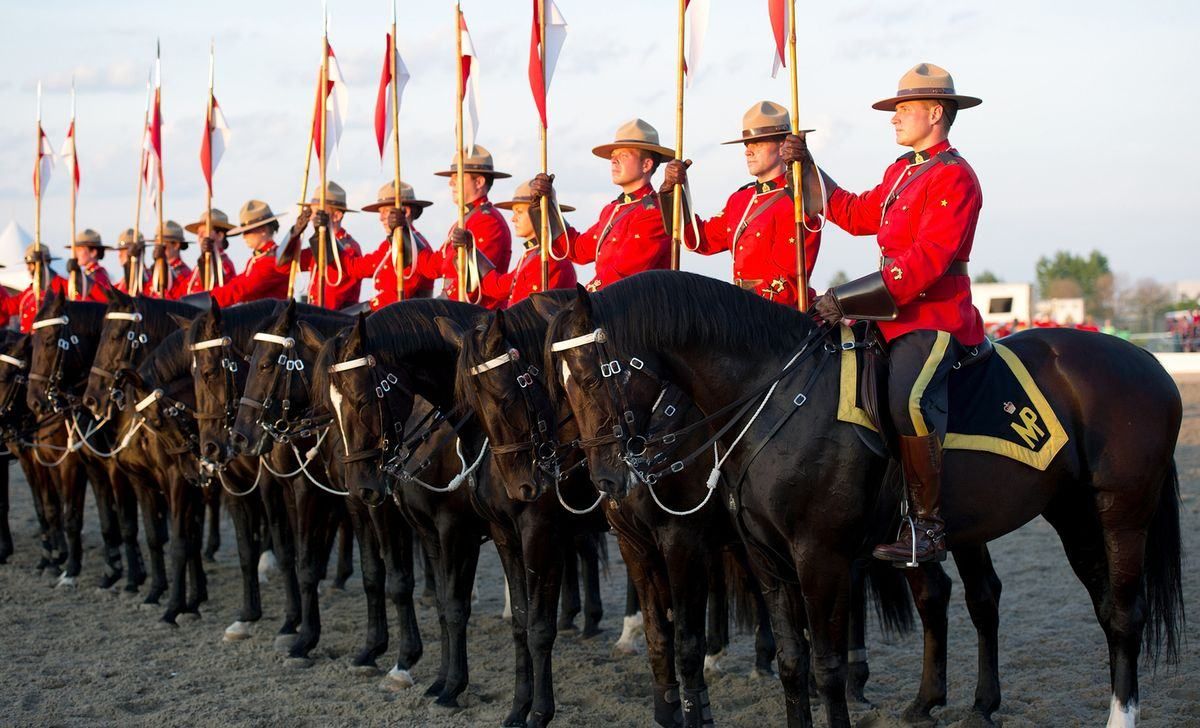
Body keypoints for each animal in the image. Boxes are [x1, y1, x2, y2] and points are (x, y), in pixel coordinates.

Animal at [549, 272, 1185, 728]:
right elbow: (791, 662)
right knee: (1030, 601)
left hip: (1119, 515)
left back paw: (1117, 718)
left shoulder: (818, 557)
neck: (775, 396)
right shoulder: (765, 558)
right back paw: (968, 704)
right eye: (560, 383)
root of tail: (1146, 362)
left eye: (590, 376)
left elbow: (827, 666)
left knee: (1122, 614)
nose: (606, 480)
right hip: (1065, 515)